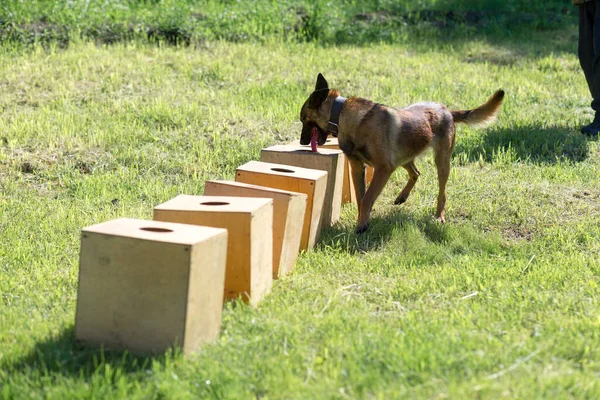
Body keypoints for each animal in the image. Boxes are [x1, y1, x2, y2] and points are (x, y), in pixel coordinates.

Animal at [298, 73, 504, 233]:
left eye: (303, 119)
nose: (301, 142)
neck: (342, 115)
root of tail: (446, 110)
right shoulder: (358, 168)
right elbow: (361, 198)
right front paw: (362, 221)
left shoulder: (383, 168)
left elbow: (367, 198)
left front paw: (362, 225)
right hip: (403, 157)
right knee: (416, 173)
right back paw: (402, 197)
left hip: (441, 162)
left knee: (441, 192)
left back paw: (439, 216)